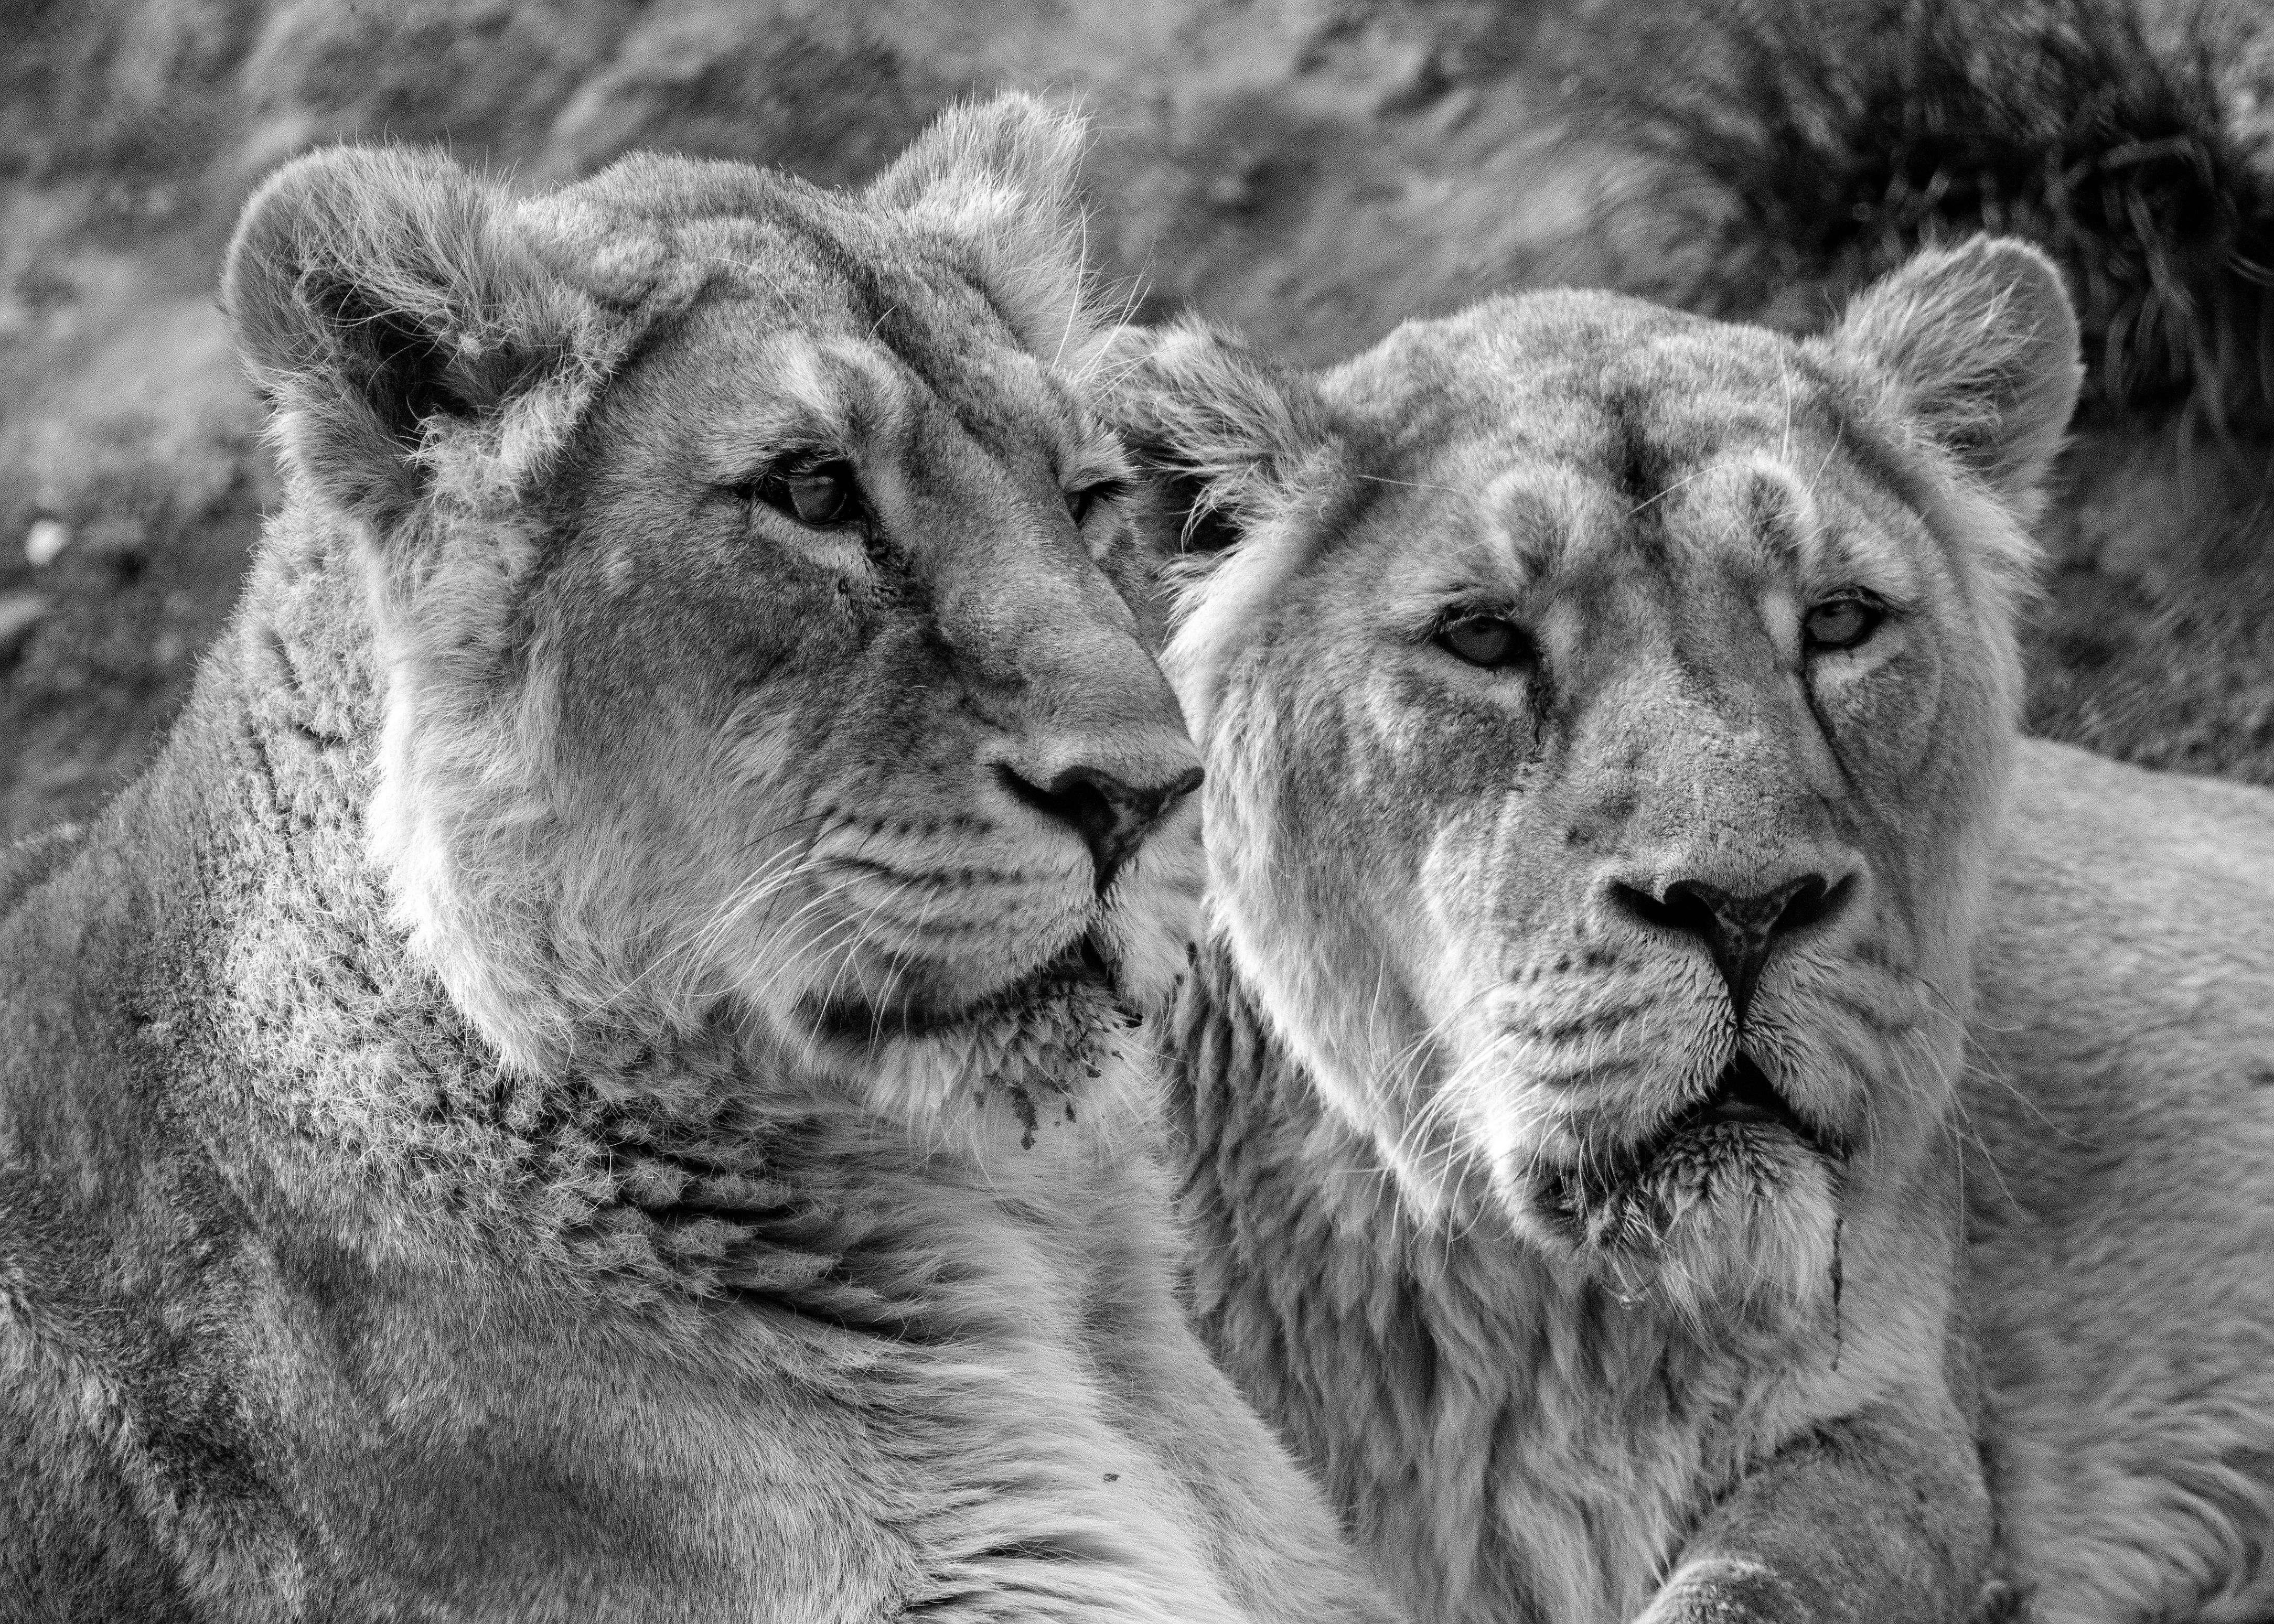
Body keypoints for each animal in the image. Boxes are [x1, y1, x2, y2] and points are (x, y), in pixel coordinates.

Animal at [1103, 239, 2274, 1623]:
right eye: (1481, 635)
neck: (1538, 1339)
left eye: (1837, 619)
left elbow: (1751, 1585)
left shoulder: (1903, 1427)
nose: (1745, 908)